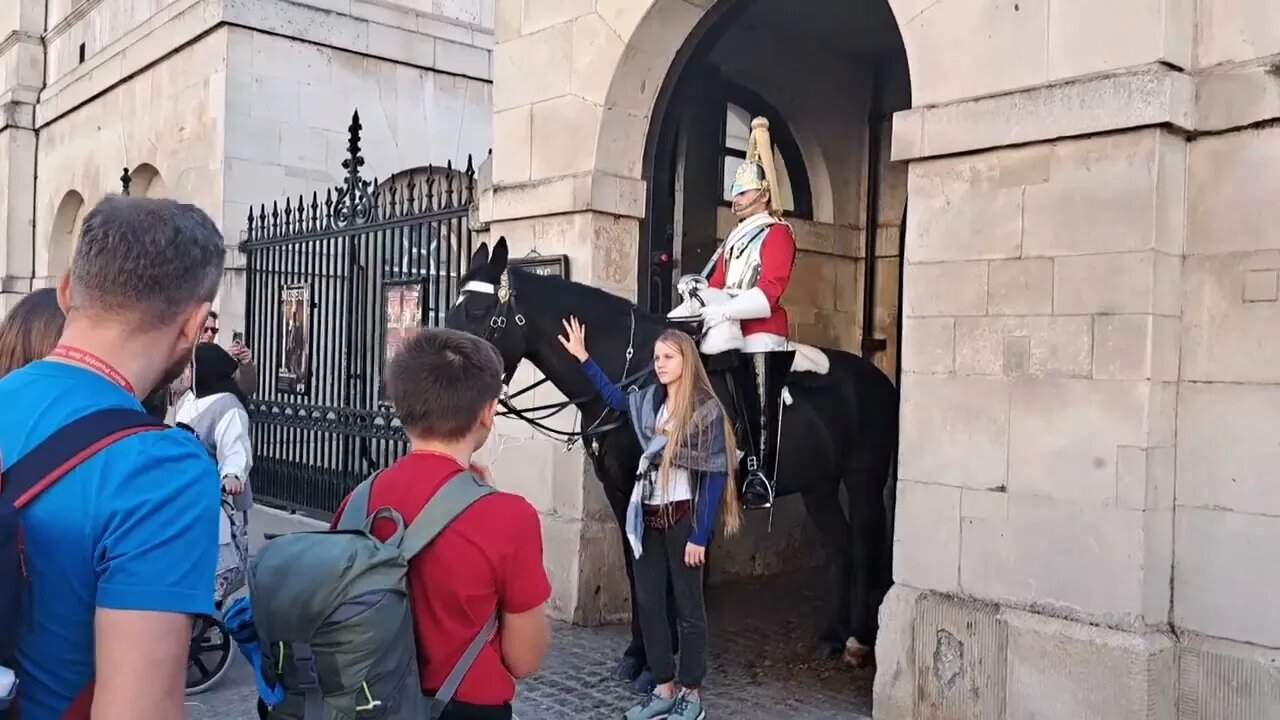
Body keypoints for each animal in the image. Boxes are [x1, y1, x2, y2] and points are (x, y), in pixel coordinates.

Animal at [448, 238, 901, 676]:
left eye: (477, 312)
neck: (633, 375)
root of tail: (880, 379)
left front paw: (661, 653)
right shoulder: (619, 490)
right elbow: (636, 565)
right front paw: (638, 652)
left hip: (862, 478)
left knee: (862, 542)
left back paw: (858, 640)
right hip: (819, 485)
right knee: (840, 544)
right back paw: (832, 637)